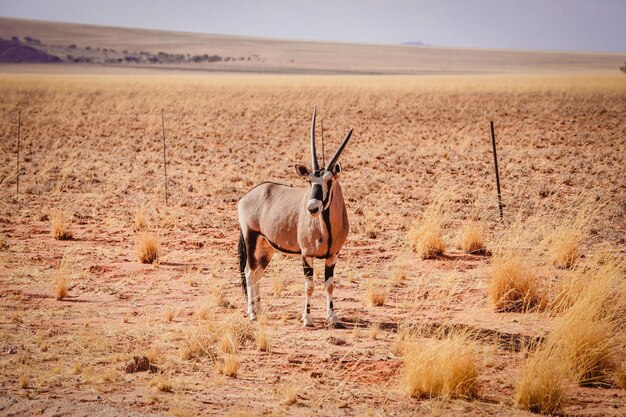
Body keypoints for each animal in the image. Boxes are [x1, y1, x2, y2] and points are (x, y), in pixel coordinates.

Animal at [236, 109, 352, 326]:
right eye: (309, 181)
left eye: (329, 181)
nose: (312, 208)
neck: (327, 228)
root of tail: (248, 195)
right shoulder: (307, 255)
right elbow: (310, 286)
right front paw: (307, 318)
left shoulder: (333, 255)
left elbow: (329, 285)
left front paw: (332, 318)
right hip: (251, 240)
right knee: (249, 273)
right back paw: (252, 313)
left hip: (267, 249)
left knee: (257, 274)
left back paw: (260, 310)